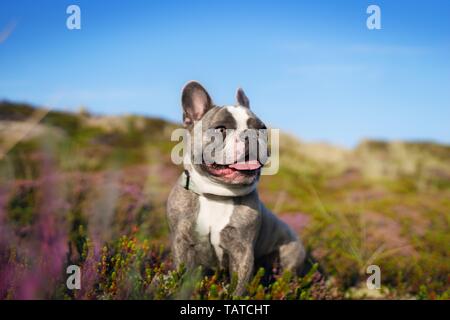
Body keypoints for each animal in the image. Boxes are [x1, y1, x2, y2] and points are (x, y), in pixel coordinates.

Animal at [166, 80, 306, 296]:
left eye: (262, 128)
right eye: (221, 129)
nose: (251, 135)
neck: (217, 194)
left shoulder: (242, 250)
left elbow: (239, 286)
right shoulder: (181, 242)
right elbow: (183, 275)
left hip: (288, 257)